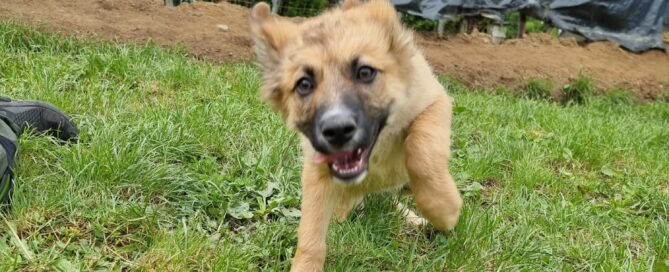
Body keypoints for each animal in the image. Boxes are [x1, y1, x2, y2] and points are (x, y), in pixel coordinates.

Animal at [248, 1, 462, 270]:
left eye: (365, 72)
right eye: (304, 84)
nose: (337, 130)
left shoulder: (434, 102)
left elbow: (422, 152)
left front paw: (443, 209)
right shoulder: (317, 171)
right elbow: (310, 233)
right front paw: (306, 264)